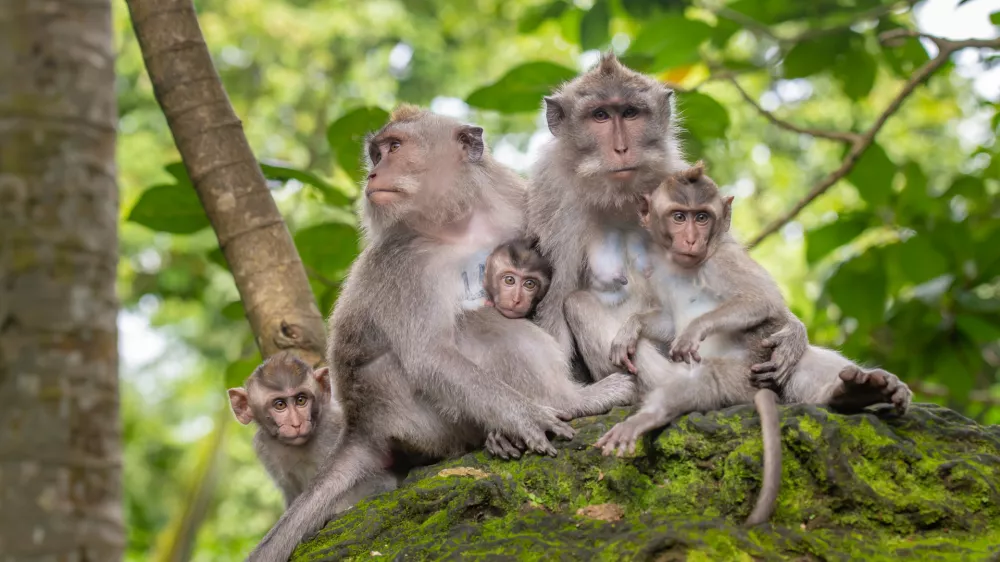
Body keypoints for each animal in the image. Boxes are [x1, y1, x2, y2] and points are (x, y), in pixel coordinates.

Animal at [227, 352, 399, 510]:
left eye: (301, 400)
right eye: (280, 405)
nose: (296, 423)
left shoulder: (334, 424)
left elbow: (379, 481)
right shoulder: (265, 447)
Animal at [248, 106, 628, 561]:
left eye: (393, 148)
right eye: (376, 153)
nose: (373, 174)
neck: (459, 222)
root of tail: (361, 424)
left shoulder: (516, 202)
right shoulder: (406, 261)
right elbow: (429, 355)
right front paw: (525, 417)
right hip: (418, 418)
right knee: (474, 326)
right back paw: (568, 402)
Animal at [526, 52, 810, 393]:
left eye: (630, 113)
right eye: (600, 115)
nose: (621, 148)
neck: (617, 198)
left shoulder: (674, 175)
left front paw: (793, 331)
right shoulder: (553, 201)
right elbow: (554, 300)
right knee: (577, 303)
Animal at [596, 163, 913, 524]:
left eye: (702, 217)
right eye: (679, 216)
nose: (691, 239)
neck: (685, 265)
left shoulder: (724, 259)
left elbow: (762, 300)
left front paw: (694, 329)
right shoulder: (656, 270)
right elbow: (665, 319)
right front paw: (631, 328)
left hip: (747, 374)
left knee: (712, 379)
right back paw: (854, 391)